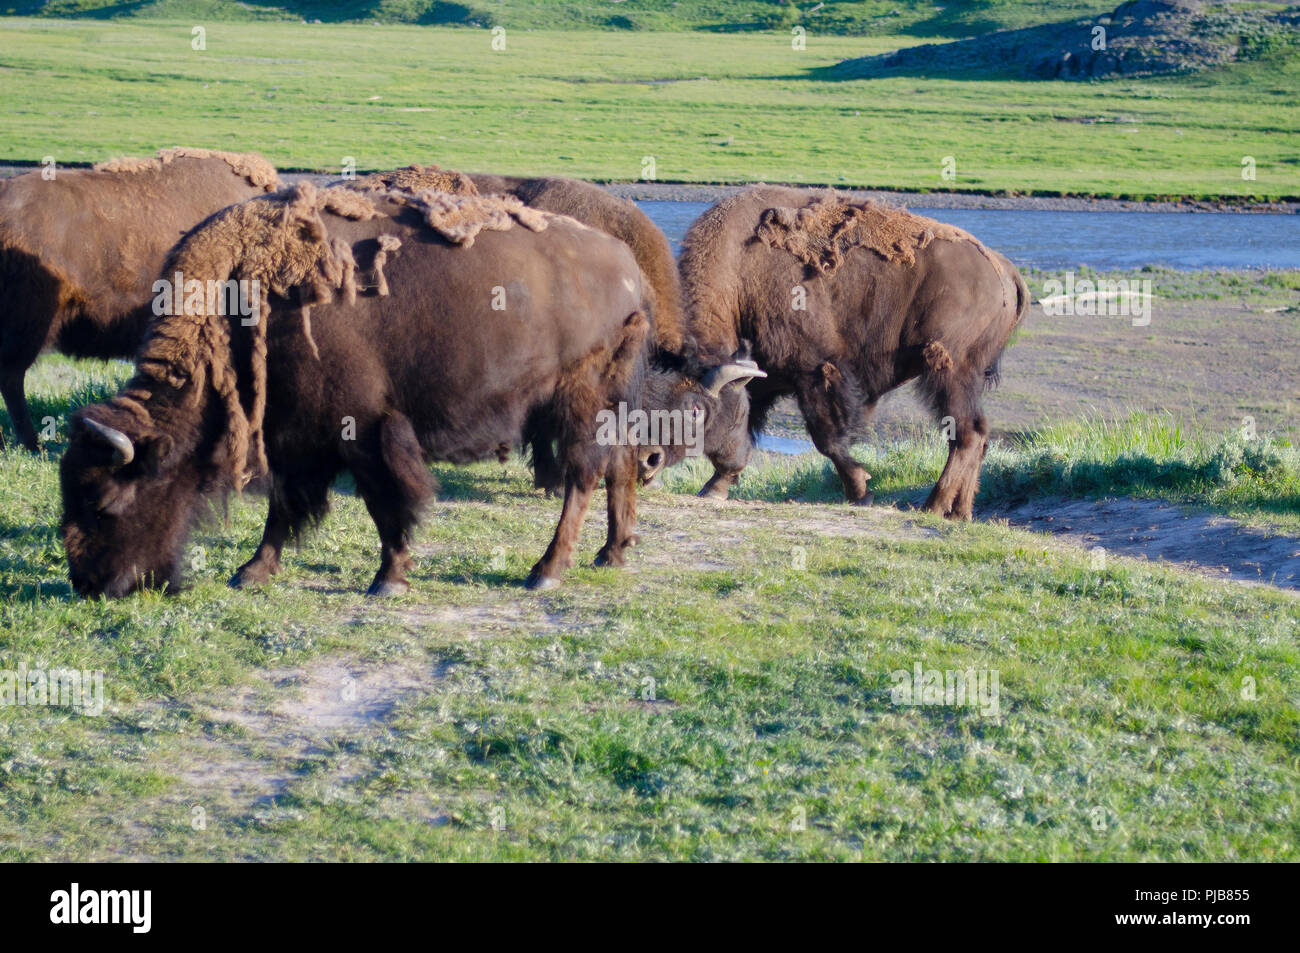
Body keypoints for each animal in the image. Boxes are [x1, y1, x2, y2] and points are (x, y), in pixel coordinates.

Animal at [55, 180, 759, 595]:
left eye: (107, 501)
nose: (89, 582)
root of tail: (626, 269)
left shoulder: (362, 428)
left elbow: (385, 500)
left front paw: (388, 578)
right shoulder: (297, 435)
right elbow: (288, 504)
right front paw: (251, 571)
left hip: (578, 400)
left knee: (584, 475)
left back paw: (545, 572)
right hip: (607, 403)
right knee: (618, 466)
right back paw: (612, 554)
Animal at [681, 185, 1024, 520]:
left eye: (697, 412)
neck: (739, 272)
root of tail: (1004, 270)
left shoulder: (815, 372)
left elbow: (827, 439)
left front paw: (861, 492)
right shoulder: (763, 378)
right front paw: (713, 487)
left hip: (949, 371)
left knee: (966, 433)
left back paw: (935, 506)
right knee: (978, 435)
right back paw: (960, 512)